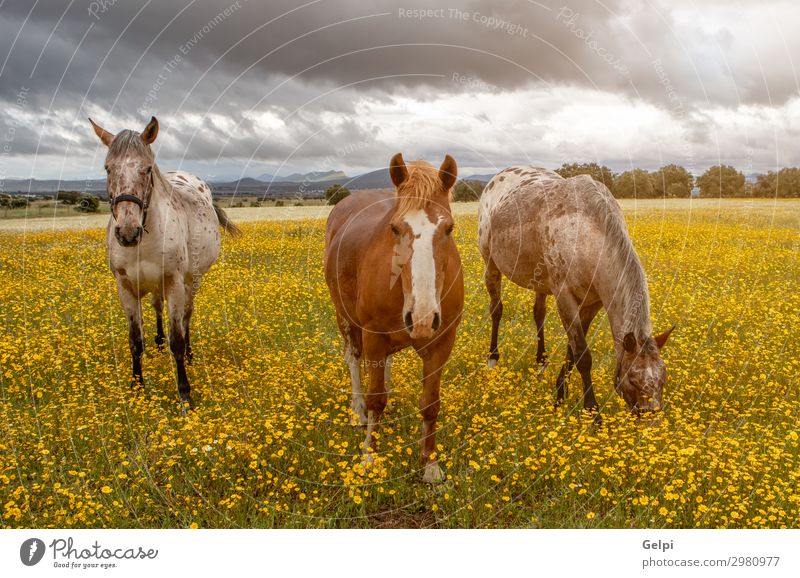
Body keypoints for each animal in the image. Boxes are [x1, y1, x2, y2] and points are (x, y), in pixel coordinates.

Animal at [90, 115, 239, 408]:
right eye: (107, 168)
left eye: (147, 169)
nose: (127, 232)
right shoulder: (125, 288)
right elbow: (135, 340)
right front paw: (137, 388)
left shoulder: (174, 284)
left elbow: (177, 339)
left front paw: (185, 394)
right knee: (157, 308)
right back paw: (157, 343)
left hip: (192, 282)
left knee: (187, 316)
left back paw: (190, 355)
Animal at [324, 151, 462, 480]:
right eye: (395, 228)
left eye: (449, 228)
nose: (422, 317)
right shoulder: (373, 335)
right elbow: (375, 397)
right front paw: (369, 458)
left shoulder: (443, 341)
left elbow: (430, 403)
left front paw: (430, 464)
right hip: (346, 320)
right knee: (354, 359)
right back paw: (358, 411)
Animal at [478, 165, 672, 414]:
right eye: (633, 379)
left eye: (663, 378)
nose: (652, 415)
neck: (586, 234)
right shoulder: (565, 297)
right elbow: (582, 354)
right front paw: (592, 411)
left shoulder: (592, 303)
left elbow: (572, 351)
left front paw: (560, 394)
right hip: (490, 264)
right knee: (496, 309)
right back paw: (492, 361)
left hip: (541, 283)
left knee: (538, 313)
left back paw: (541, 364)